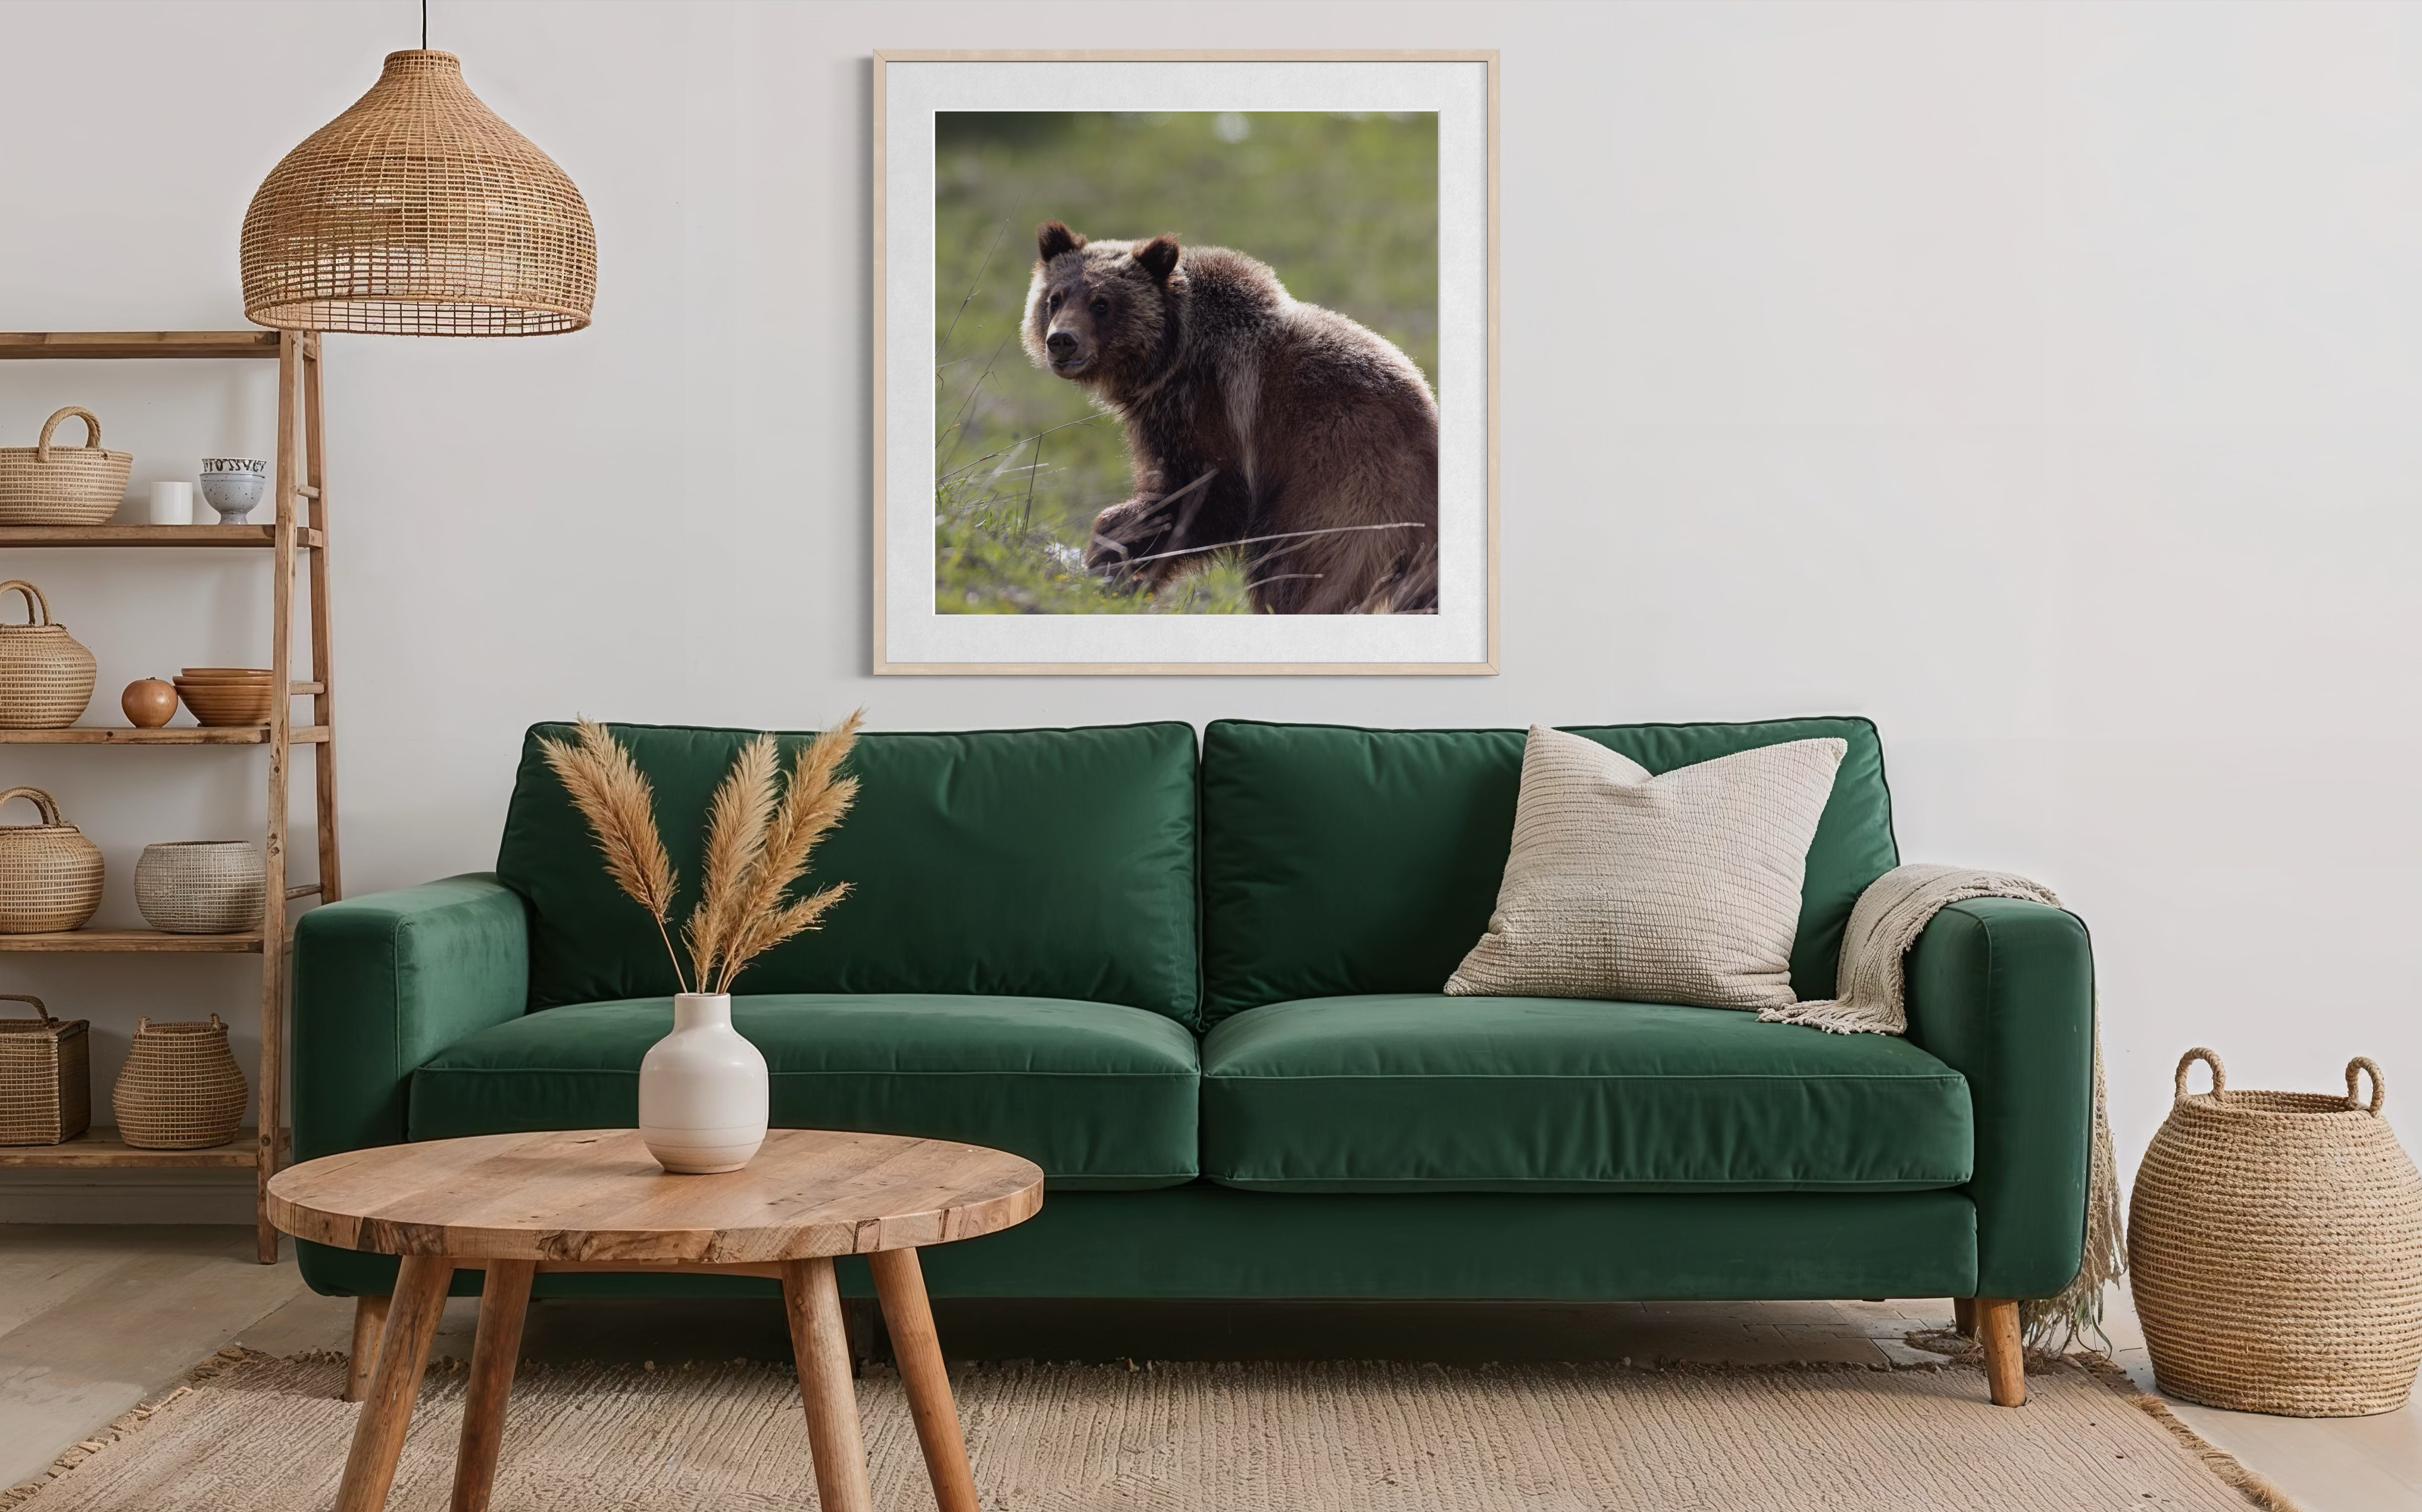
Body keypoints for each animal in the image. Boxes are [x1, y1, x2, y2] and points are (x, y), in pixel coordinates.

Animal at [1020, 221, 1439, 614]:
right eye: (1055, 298)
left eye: (1102, 303)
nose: (1062, 341)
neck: (1172, 357)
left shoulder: (1217, 410)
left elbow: (1200, 498)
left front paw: (1115, 560)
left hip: (1345, 487)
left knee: (1298, 570)